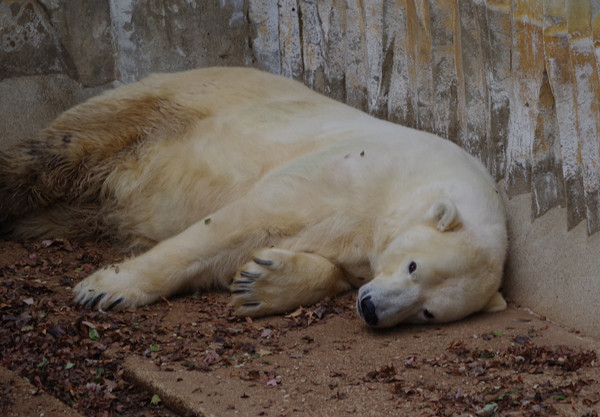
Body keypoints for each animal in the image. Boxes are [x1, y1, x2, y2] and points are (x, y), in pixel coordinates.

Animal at [0, 66, 506, 326]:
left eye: (428, 313)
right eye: (414, 265)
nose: (371, 310)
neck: (406, 183)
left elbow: (330, 266)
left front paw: (259, 283)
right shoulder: (351, 169)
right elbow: (235, 225)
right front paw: (106, 289)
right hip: (163, 107)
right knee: (59, 152)